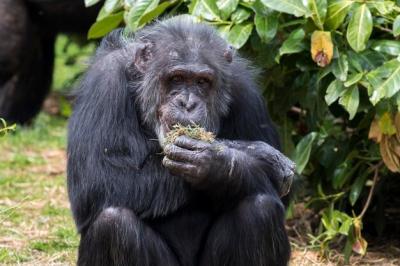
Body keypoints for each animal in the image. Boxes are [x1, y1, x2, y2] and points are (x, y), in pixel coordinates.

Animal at [67, 15, 296, 264]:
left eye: (202, 82)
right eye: (176, 78)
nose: (188, 103)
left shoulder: (246, 89)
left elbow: (283, 197)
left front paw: (217, 163)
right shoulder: (104, 82)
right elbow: (98, 179)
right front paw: (263, 157)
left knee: (261, 209)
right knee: (113, 223)